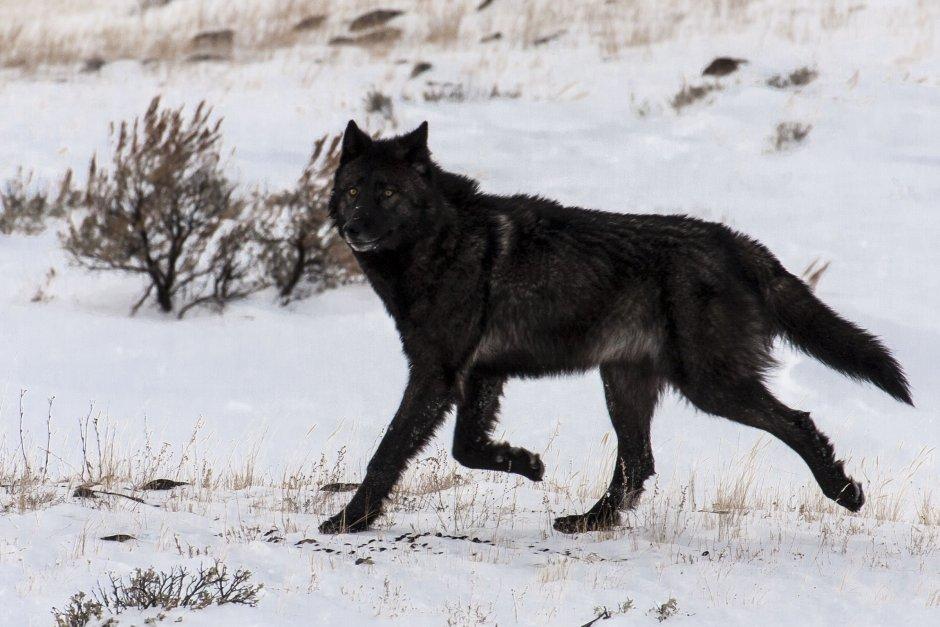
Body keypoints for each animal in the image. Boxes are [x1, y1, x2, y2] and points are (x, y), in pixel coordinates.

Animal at [320, 121, 916, 536]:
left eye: (388, 193)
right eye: (351, 191)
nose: (353, 228)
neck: (440, 244)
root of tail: (738, 244)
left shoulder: (435, 375)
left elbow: (388, 453)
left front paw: (348, 521)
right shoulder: (480, 375)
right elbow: (466, 447)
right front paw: (526, 463)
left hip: (709, 387)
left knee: (796, 422)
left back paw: (844, 491)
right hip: (624, 383)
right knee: (637, 466)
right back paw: (588, 522)